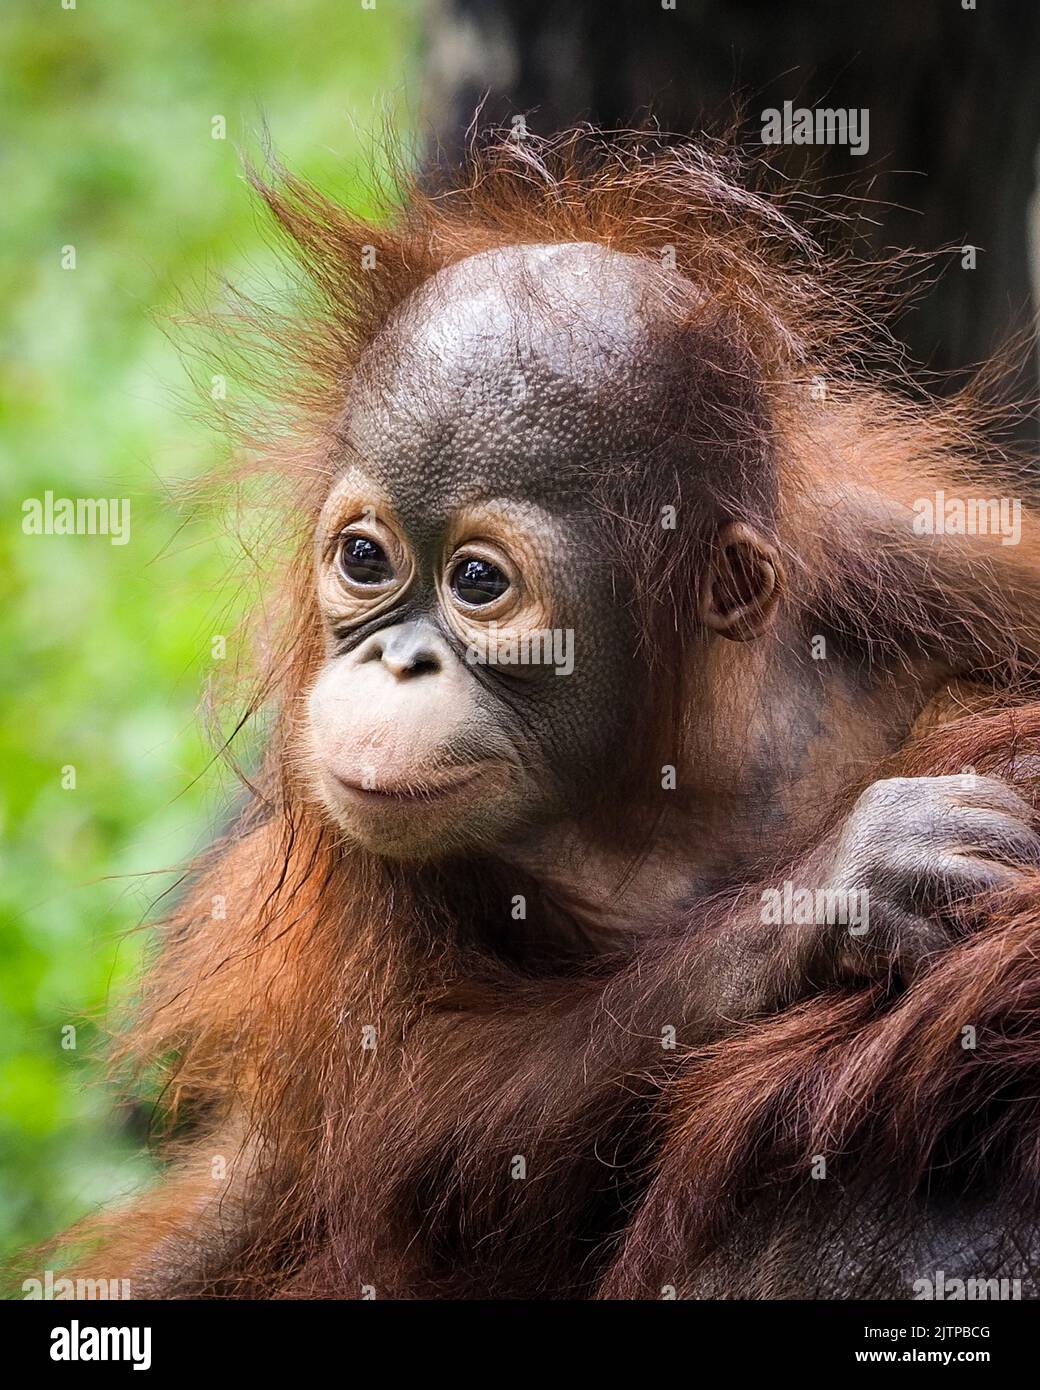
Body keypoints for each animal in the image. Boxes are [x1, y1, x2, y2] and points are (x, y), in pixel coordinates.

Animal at [42, 129, 1040, 1299]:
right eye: (364, 558)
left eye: (478, 582)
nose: (395, 660)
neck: (668, 756)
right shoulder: (356, 842)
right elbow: (408, 1123)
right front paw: (853, 880)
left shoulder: (924, 559)